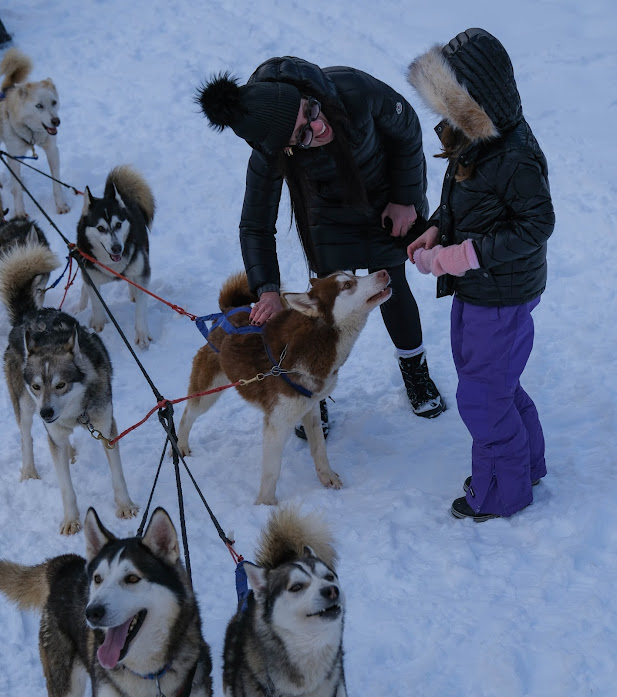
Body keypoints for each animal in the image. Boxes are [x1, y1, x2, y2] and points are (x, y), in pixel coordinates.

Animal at [0, 47, 69, 218]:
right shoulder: (14, 157)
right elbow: (17, 190)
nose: (56, 121)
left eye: (54, 102)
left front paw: (61, 205)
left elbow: (56, 183)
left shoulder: (52, 151)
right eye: (39, 106)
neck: (33, 133)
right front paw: (19, 212)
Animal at [0, 250, 139, 533]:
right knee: (27, 437)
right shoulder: (51, 429)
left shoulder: (106, 427)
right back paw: (29, 470)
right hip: (25, 406)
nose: (46, 412)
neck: (77, 413)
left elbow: (118, 476)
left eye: (61, 384)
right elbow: (66, 487)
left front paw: (125, 506)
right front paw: (72, 520)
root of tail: (28, 317)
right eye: (37, 386)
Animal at [76, 164, 155, 348]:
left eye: (118, 224)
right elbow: (96, 302)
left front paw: (142, 334)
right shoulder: (90, 275)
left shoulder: (142, 272)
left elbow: (141, 307)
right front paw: (98, 323)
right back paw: (81, 306)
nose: (117, 248)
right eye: (100, 228)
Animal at [177, 269, 391, 504]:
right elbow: (272, 470)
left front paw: (327, 476)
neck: (314, 343)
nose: (383, 272)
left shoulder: (311, 409)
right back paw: (180, 446)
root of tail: (227, 311)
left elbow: (319, 449)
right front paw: (266, 504)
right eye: (347, 285)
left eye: (353, 276)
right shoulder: (277, 424)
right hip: (207, 393)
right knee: (187, 415)